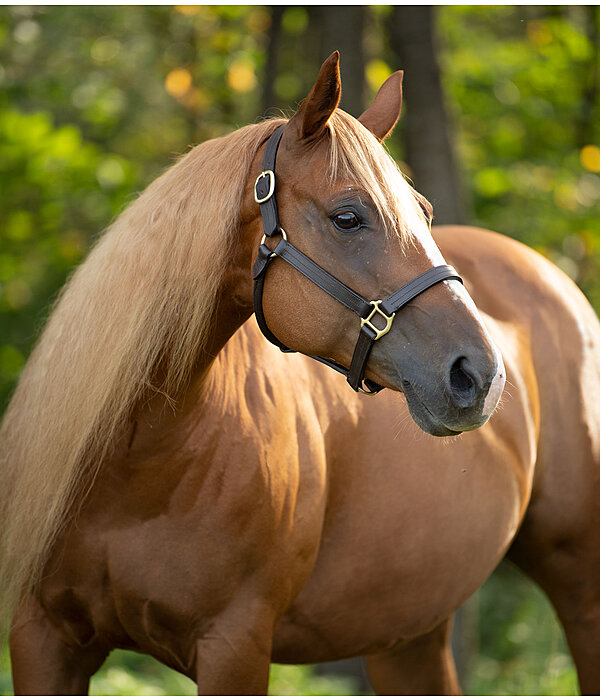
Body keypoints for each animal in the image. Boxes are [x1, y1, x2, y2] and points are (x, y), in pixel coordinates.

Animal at [1, 50, 600, 696]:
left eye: (424, 213)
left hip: (579, 587)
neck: (132, 467)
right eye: (348, 217)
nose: (481, 375)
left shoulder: (233, 647)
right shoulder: (42, 639)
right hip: (407, 631)